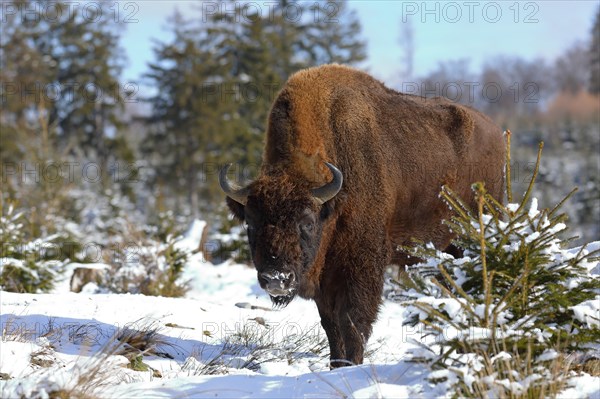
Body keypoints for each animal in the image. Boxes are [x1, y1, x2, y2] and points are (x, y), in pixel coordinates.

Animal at [218, 65, 504, 368]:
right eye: (250, 224)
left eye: (307, 222)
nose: (276, 279)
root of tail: (495, 131)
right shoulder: (325, 277)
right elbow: (330, 324)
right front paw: (336, 364)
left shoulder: (360, 266)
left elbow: (353, 321)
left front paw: (352, 364)